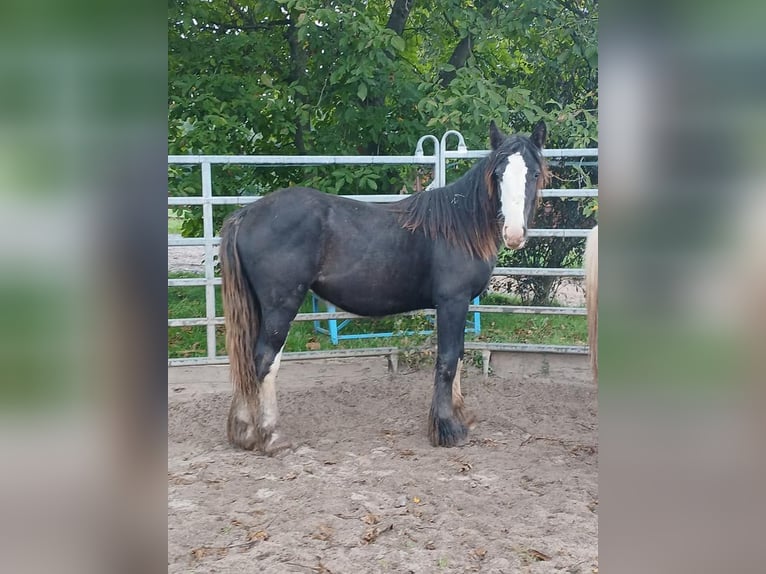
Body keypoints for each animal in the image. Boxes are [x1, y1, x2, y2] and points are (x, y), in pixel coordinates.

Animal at [219, 121, 548, 454]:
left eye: (534, 173)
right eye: (498, 174)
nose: (514, 233)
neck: (459, 227)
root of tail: (246, 214)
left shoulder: (461, 304)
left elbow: (457, 356)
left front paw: (460, 416)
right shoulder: (452, 302)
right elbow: (446, 360)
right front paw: (446, 429)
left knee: (246, 359)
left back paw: (245, 432)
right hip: (280, 307)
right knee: (264, 361)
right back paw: (272, 435)